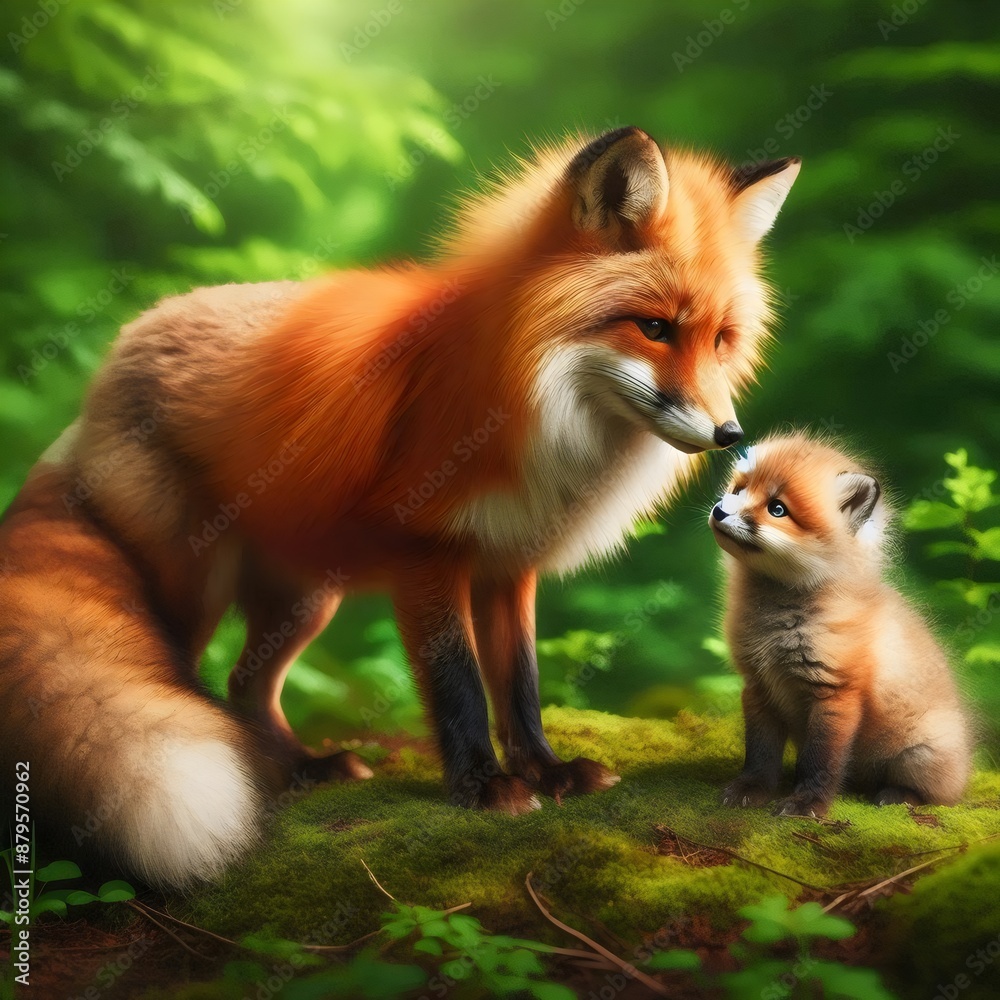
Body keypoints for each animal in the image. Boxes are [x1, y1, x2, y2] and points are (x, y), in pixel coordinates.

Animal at [1, 127, 801, 888]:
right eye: (655, 328)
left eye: (721, 339)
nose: (730, 435)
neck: (537, 411)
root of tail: (107, 369)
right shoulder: (427, 553)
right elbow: (457, 684)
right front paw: (484, 788)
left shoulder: (509, 565)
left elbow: (520, 686)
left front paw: (546, 772)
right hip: (192, 589)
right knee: (195, 681)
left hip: (305, 598)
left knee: (245, 685)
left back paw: (301, 770)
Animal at [710, 433, 972, 817]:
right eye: (739, 490)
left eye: (777, 509)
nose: (719, 511)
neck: (775, 626)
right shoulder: (758, 685)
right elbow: (760, 753)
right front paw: (751, 789)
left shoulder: (835, 691)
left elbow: (820, 760)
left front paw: (807, 803)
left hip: (919, 757)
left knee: (938, 796)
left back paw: (896, 796)